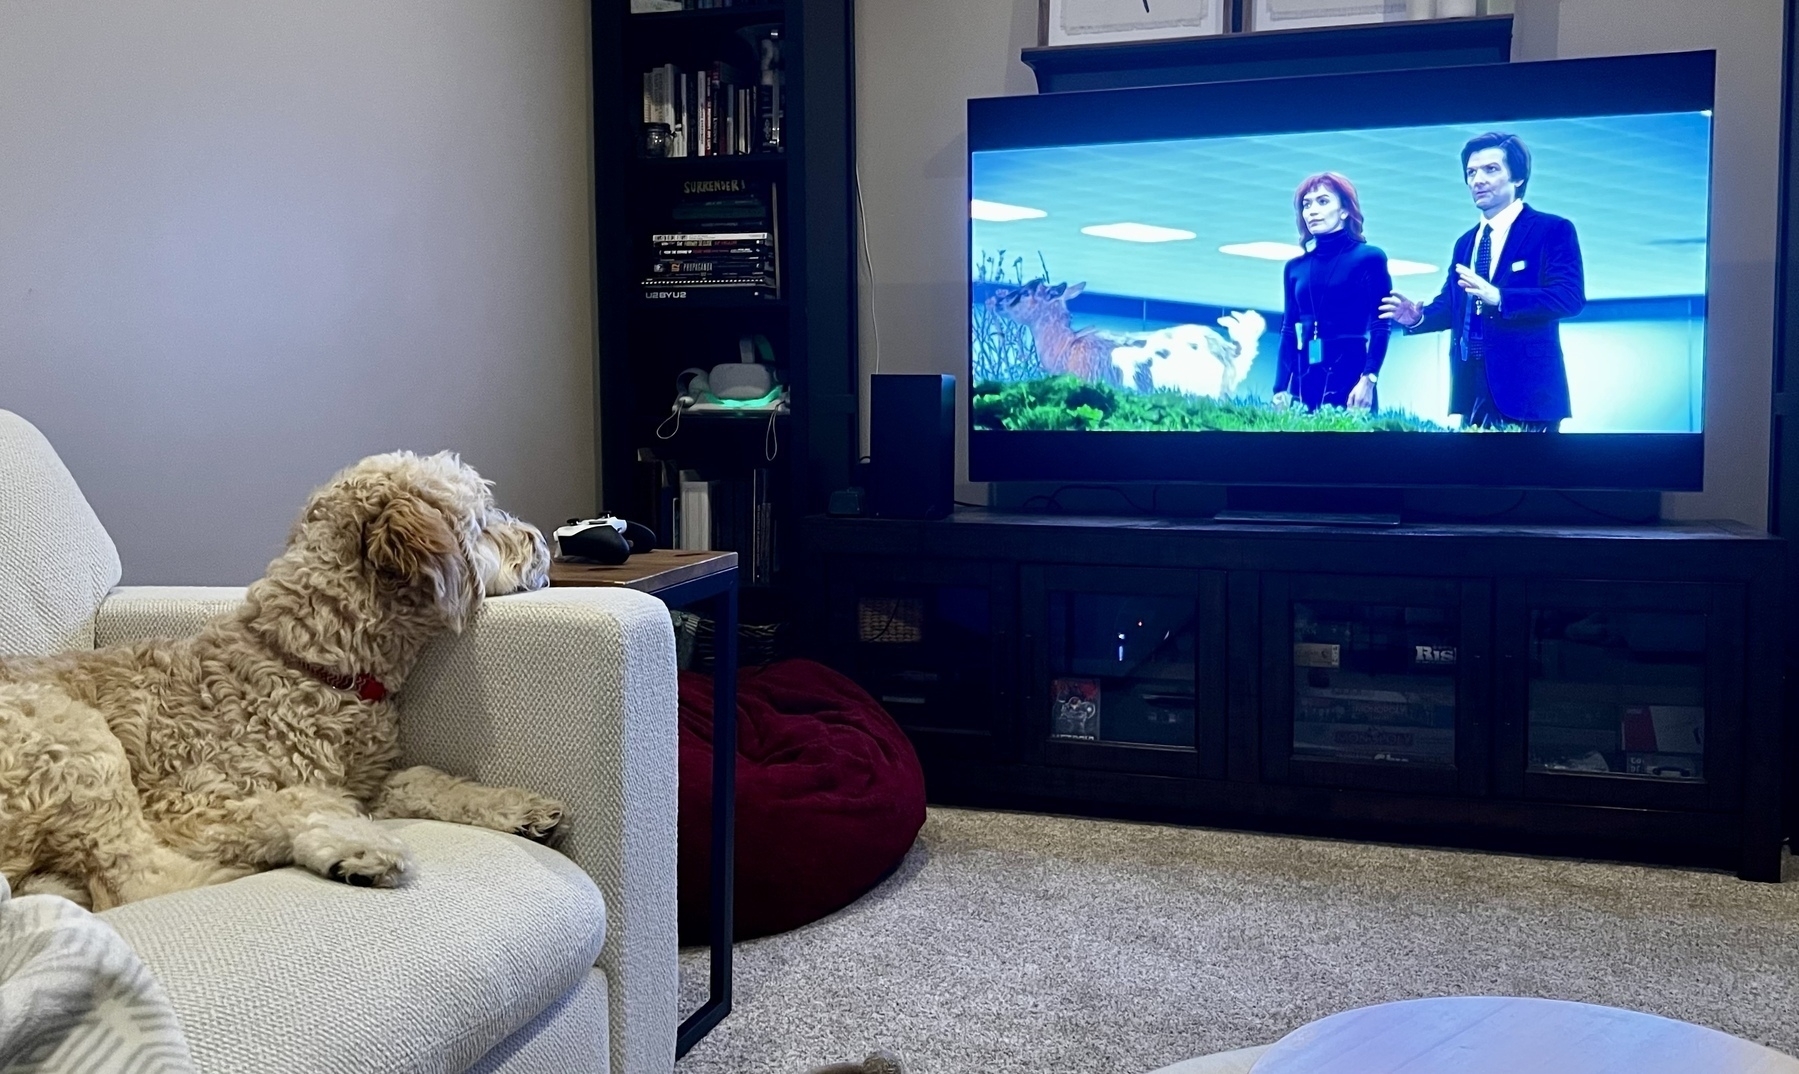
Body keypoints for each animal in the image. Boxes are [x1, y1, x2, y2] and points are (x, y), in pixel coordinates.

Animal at [0, 447, 561, 910]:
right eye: (485, 523)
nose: (543, 542)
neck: (310, 664)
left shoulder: (369, 780)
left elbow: (423, 778)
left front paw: (515, 806)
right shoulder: (187, 805)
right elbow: (302, 801)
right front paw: (359, 845)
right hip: (73, 739)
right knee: (135, 883)